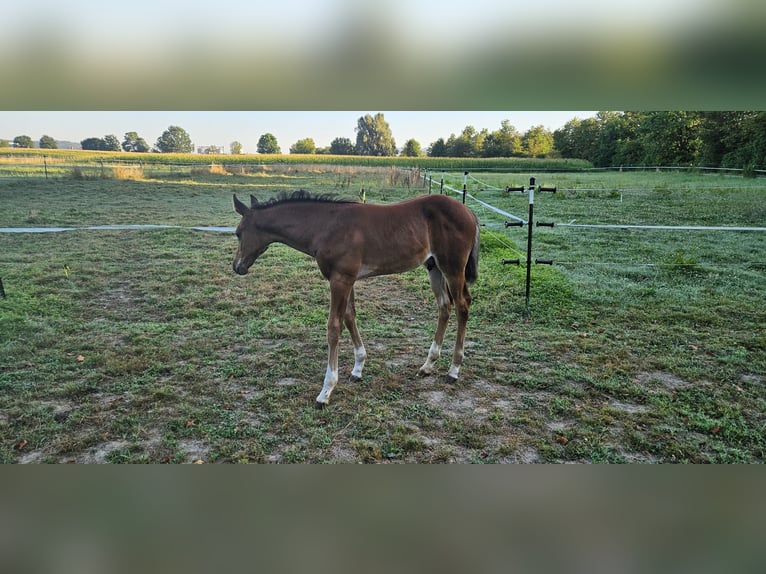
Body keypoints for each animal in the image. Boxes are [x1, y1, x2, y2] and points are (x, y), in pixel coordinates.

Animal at [232, 191, 480, 412]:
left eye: (238, 233)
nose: (237, 267)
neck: (325, 227)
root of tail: (468, 211)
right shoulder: (347, 279)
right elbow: (350, 317)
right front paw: (358, 368)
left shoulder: (340, 279)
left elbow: (334, 327)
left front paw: (326, 391)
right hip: (433, 266)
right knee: (444, 306)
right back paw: (427, 366)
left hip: (452, 267)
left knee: (462, 305)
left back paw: (454, 370)